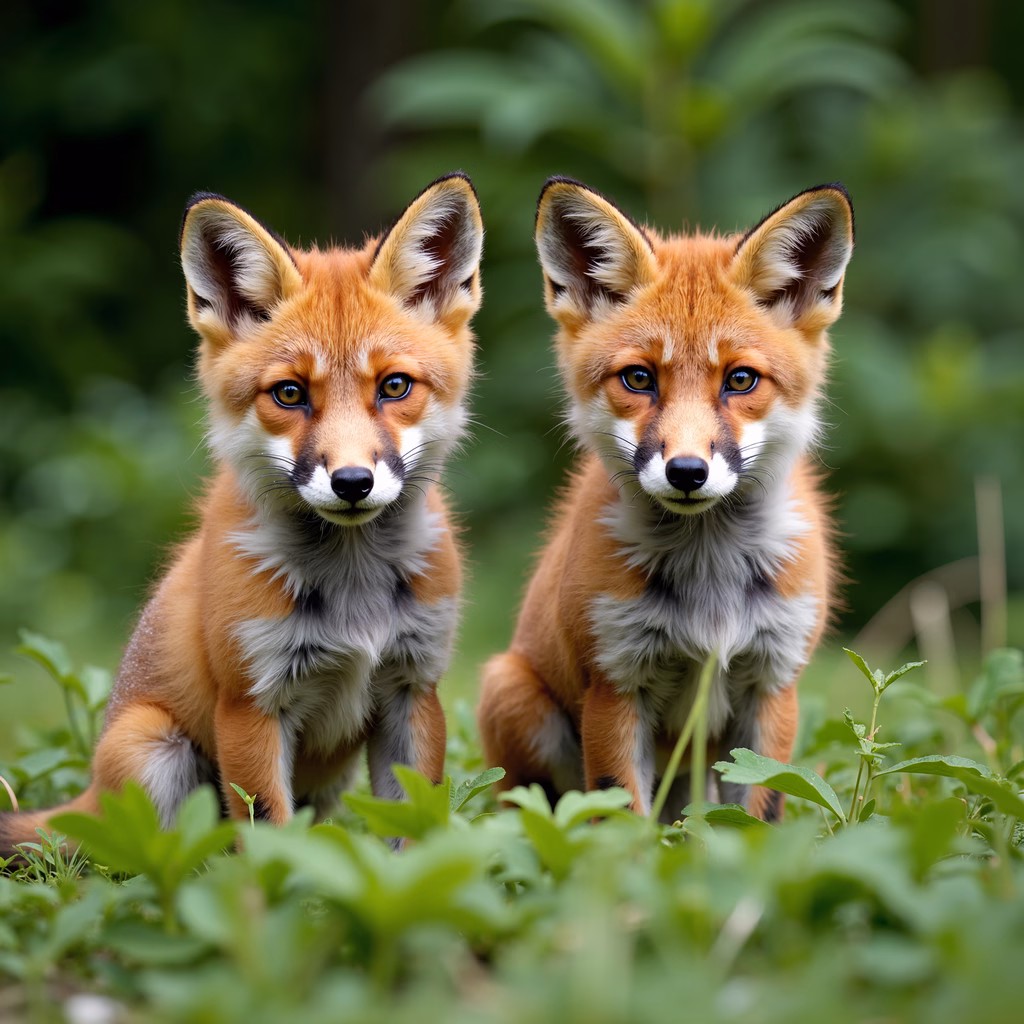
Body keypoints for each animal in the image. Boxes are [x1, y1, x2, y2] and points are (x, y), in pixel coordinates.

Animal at [0, 172, 484, 854]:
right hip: (154, 749)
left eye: (394, 387)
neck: (353, 594)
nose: (352, 482)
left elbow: (411, 831)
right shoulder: (251, 703)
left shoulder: (414, 687)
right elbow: (273, 842)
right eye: (290, 393)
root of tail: (88, 791)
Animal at [477, 177, 854, 822]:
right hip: (512, 694)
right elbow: (619, 816)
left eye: (740, 380)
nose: (686, 471)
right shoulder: (615, 682)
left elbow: (760, 814)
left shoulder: (773, 683)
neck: (709, 577)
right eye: (639, 378)